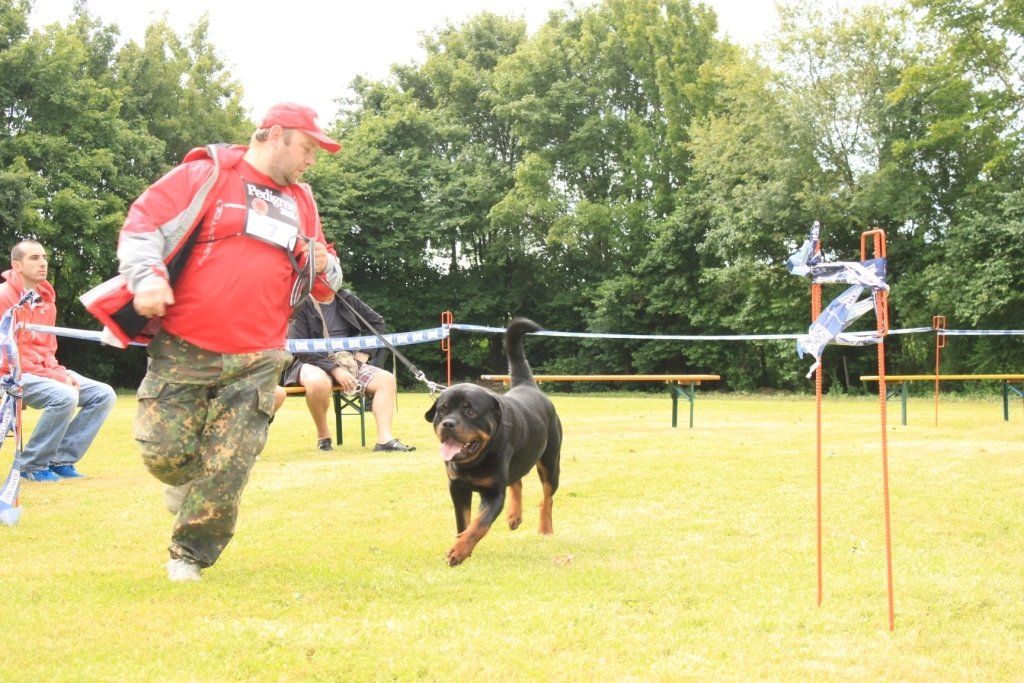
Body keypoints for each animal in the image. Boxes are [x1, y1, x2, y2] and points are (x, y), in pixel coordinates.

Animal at [425, 317, 562, 566]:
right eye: (442, 410)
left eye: (470, 411)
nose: (448, 424)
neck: (475, 460)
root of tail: (527, 385)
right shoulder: (457, 487)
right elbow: (464, 522)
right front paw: (462, 548)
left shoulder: (494, 492)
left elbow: (479, 525)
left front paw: (458, 551)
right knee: (517, 481)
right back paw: (514, 515)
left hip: (551, 462)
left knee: (547, 496)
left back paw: (545, 527)